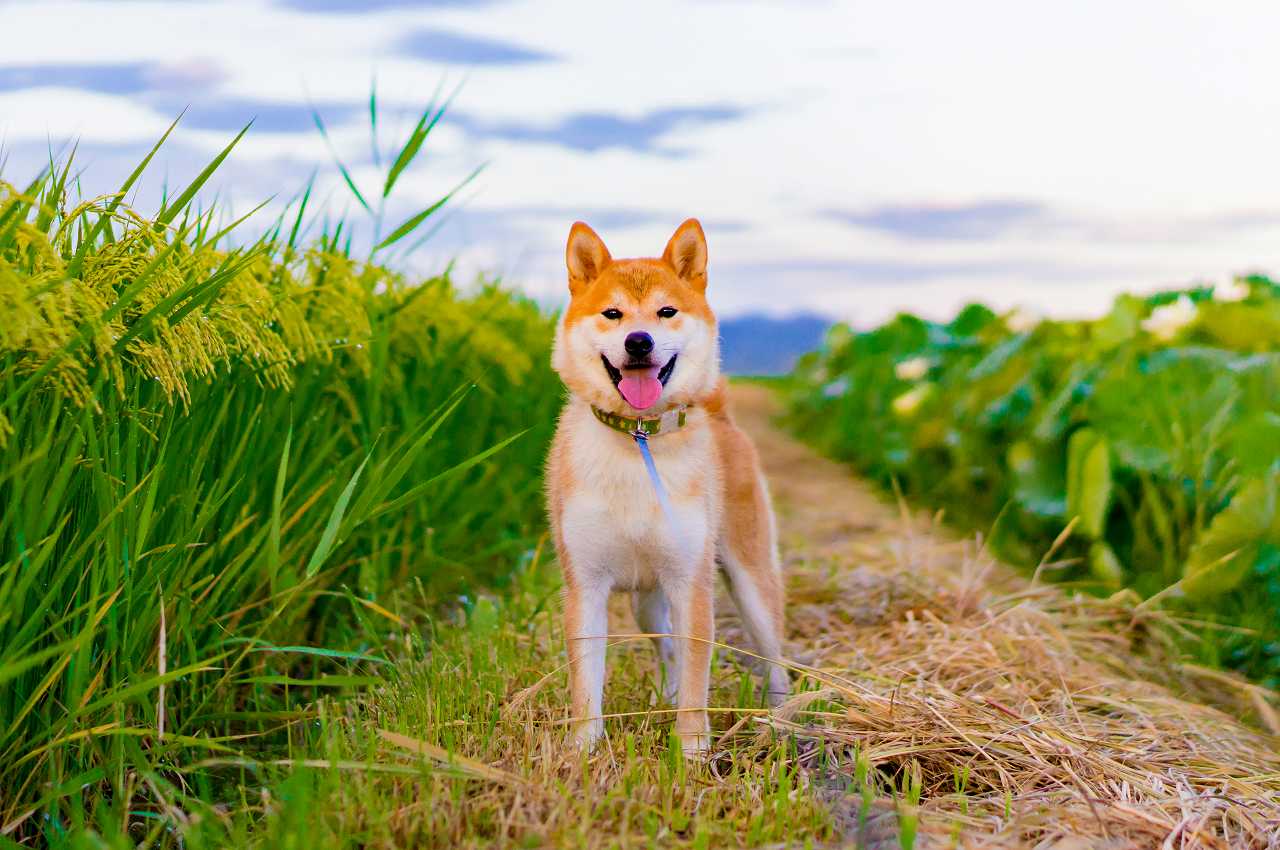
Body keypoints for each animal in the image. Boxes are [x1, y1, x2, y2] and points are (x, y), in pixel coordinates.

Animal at [542, 218, 783, 757]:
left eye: (666, 311)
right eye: (612, 313)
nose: (638, 341)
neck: (638, 438)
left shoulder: (690, 581)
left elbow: (697, 676)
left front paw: (691, 749)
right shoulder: (586, 585)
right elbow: (586, 683)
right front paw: (582, 750)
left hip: (749, 579)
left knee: (776, 660)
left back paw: (786, 720)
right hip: (645, 600)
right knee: (668, 646)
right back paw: (664, 697)